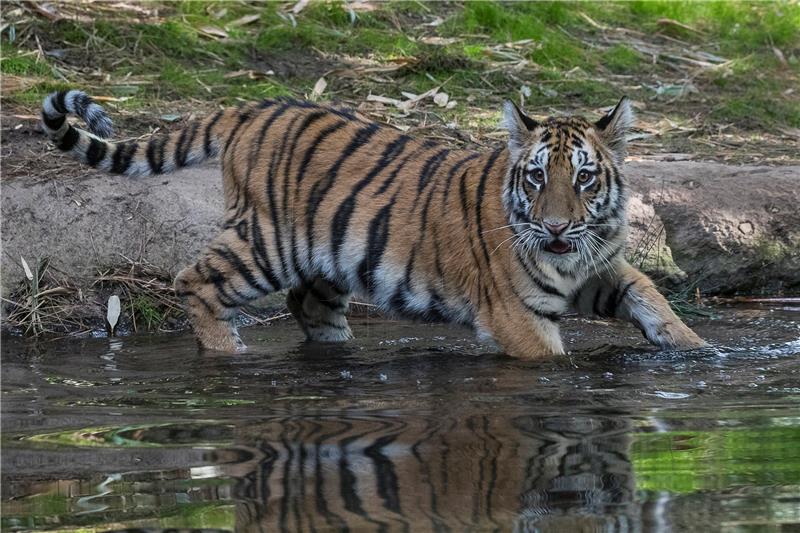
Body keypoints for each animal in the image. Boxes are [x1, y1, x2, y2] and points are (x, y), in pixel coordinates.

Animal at [40, 89, 704, 358]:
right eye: (538, 178)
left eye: (585, 178)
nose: (559, 228)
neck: (571, 254)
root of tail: (251, 108)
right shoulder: (517, 315)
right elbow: (553, 360)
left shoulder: (598, 267)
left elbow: (650, 296)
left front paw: (697, 349)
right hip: (265, 245)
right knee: (195, 281)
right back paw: (228, 353)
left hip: (327, 256)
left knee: (308, 304)